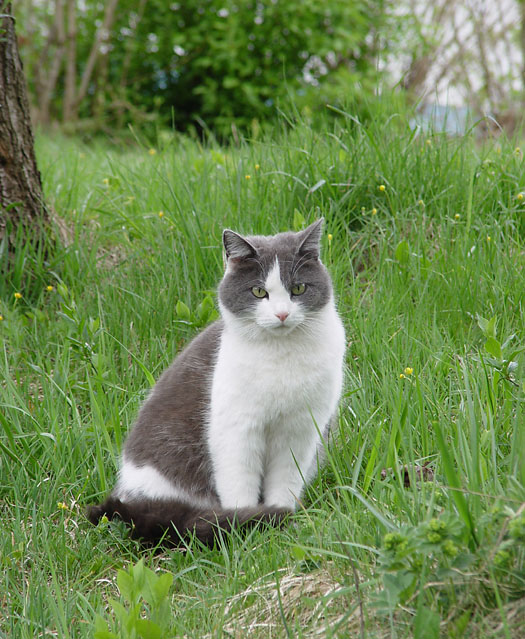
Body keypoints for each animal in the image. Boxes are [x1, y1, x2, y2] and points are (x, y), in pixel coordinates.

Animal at [88, 220, 346, 544]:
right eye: (258, 291)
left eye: (298, 288)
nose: (282, 314)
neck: (281, 355)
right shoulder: (236, 429)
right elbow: (239, 483)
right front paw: (247, 526)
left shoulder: (301, 429)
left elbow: (286, 479)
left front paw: (282, 519)